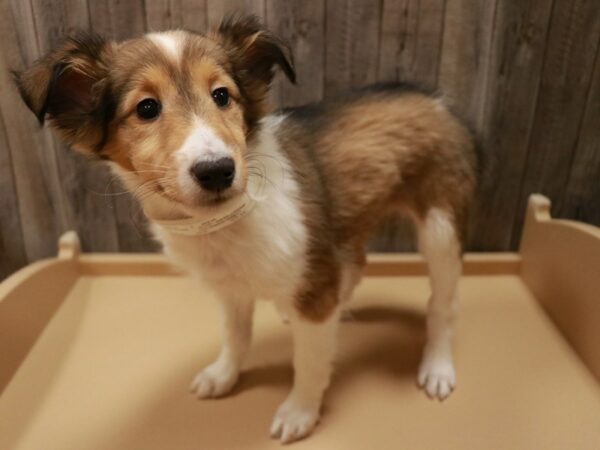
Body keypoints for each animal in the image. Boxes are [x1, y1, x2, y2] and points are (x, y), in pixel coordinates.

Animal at [15, 15, 478, 444]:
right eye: (146, 108)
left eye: (222, 95)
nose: (218, 170)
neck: (226, 223)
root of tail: (437, 98)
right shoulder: (232, 287)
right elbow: (236, 337)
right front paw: (224, 375)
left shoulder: (313, 281)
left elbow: (309, 362)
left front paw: (300, 411)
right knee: (356, 265)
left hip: (439, 226)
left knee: (444, 302)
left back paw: (437, 365)